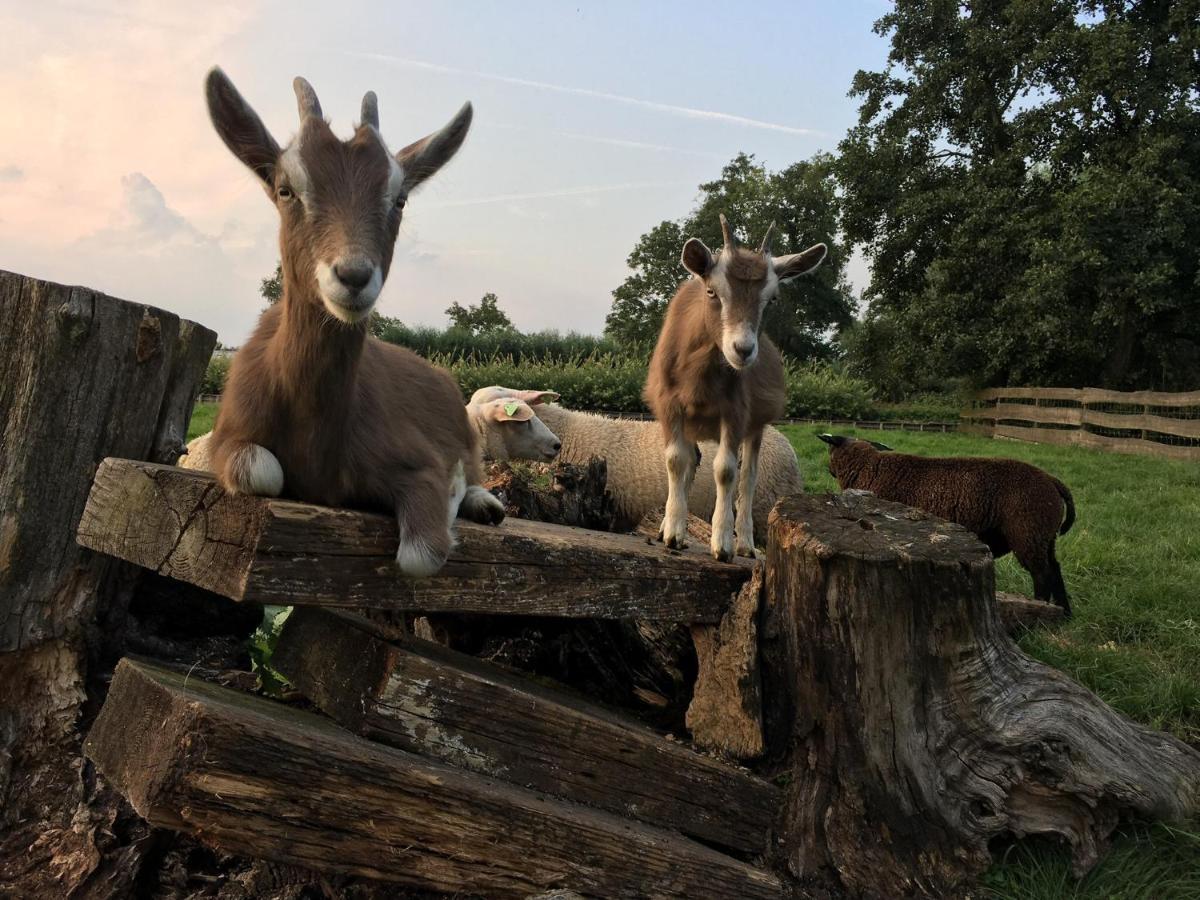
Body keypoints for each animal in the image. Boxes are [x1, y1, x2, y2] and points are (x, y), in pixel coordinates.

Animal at [204, 70, 504, 578]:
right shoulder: (227, 437)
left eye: (399, 199)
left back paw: (485, 502)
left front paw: (454, 495)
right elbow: (263, 471)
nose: (353, 276)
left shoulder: (421, 459)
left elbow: (420, 555)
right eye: (286, 189)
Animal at [648, 214, 825, 561]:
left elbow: (726, 471)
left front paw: (722, 543)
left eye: (772, 299)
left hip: (756, 427)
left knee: (748, 477)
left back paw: (744, 541)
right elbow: (676, 461)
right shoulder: (669, 405)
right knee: (693, 461)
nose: (743, 350)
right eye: (712, 291)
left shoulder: (735, 412)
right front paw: (673, 533)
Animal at [816, 439, 1080, 619]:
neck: (870, 468)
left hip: (1028, 532)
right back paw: (1064, 614)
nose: (828, 469)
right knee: (1054, 568)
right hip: (1044, 537)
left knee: (1042, 574)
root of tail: (1052, 481)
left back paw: (1040, 608)